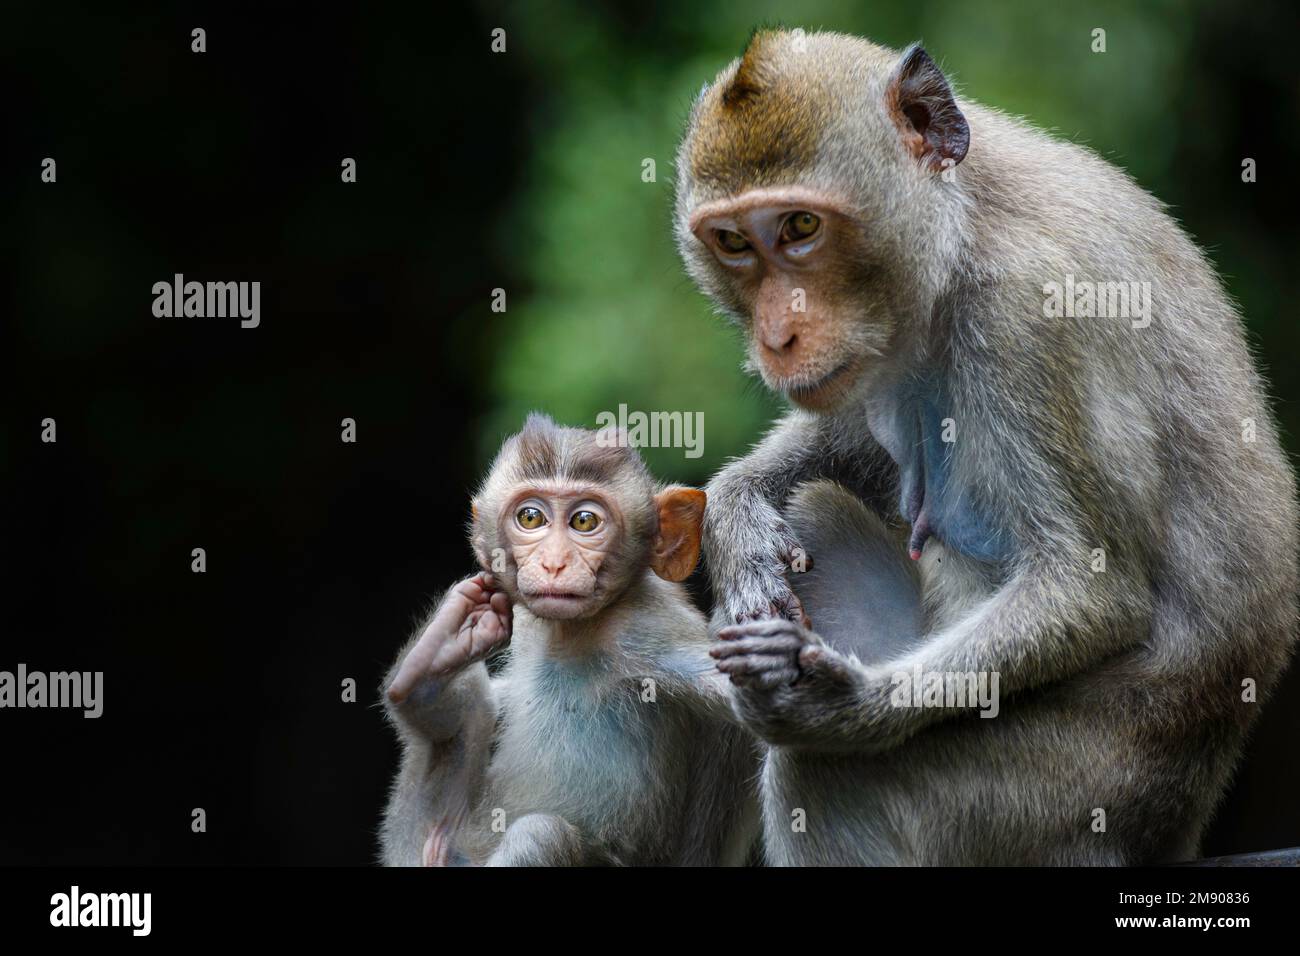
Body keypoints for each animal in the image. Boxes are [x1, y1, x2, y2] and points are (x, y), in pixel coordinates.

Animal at [379, 413, 759, 868]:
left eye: (584, 522)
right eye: (530, 518)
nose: (554, 563)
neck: (574, 631)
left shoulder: (646, 630)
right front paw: (451, 645)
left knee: (540, 836)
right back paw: (426, 677)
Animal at [676, 29, 1294, 868]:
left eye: (801, 228)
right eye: (735, 242)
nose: (779, 336)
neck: (967, 222)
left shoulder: (1027, 316)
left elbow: (1089, 589)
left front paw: (846, 706)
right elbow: (849, 447)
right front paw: (737, 527)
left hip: (1051, 803)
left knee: (819, 776)